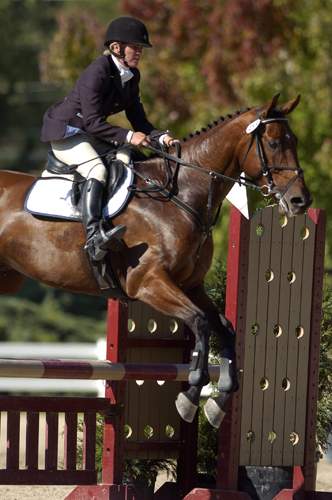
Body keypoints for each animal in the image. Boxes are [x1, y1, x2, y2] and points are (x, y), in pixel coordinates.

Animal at [0, 95, 312, 428]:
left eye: (295, 140)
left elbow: (225, 329)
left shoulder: (191, 285)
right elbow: (200, 322)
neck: (179, 195)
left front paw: (219, 402)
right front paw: (190, 396)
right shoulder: (148, 283)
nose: (300, 201)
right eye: (274, 143)